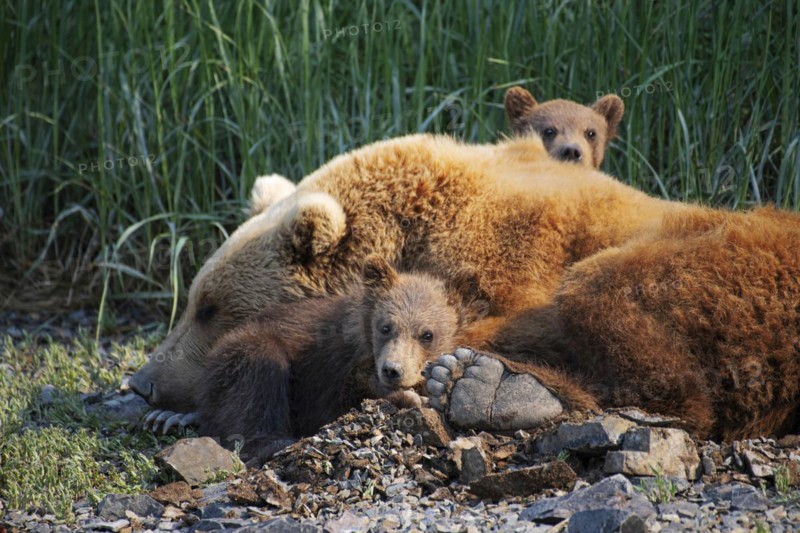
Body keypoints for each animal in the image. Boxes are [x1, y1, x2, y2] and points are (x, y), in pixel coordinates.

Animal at [129, 132, 800, 442]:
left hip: (728, 266)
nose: (142, 382)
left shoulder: (511, 253)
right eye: (193, 301)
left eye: (209, 307)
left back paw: (494, 386)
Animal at [143, 256, 487, 462]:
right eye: (385, 327)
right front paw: (403, 395)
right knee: (253, 385)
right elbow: (333, 400)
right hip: (243, 351)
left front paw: (448, 378)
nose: (393, 370)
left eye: (427, 334)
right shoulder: (328, 365)